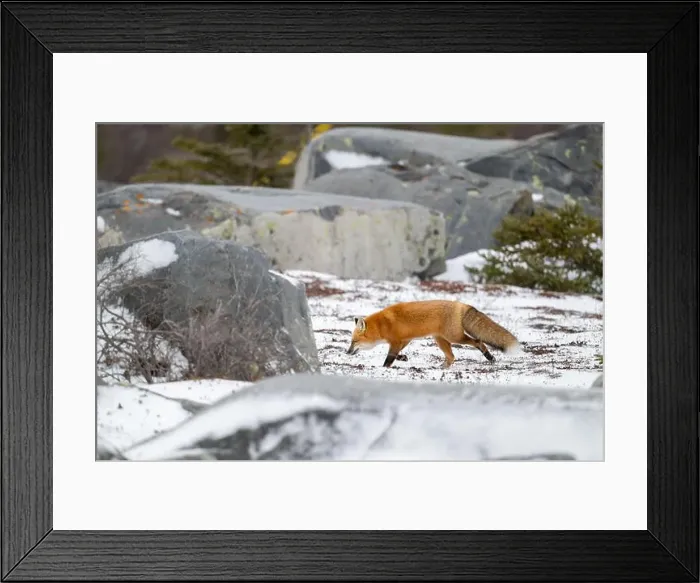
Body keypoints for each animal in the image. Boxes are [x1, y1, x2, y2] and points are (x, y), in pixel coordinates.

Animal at [346, 299, 520, 369]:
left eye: (354, 341)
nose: (347, 352)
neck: (383, 325)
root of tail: (461, 304)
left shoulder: (396, 341)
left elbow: (389, 358)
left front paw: (384, 368)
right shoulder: (405, 339)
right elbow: (398, 354)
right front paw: (403, 358)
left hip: (454, 337)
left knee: (478, 341)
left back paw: (489, 356)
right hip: (440, 340)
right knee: (452, 357)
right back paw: (442, 368)